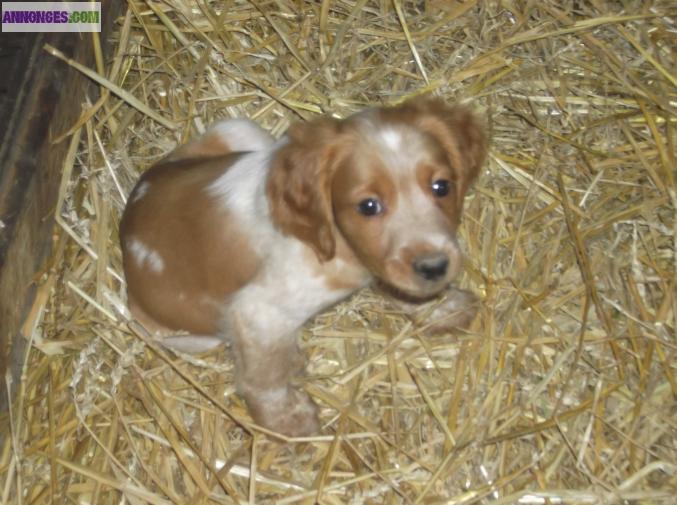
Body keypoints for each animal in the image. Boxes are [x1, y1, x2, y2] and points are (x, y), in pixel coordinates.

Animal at [120, 96, 486, 436]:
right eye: (368, 206)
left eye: (442, 186)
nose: (434, 267)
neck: (333, 241)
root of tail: (129, 216)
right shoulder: (258, 313)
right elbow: (264, 377)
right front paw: (288, 420)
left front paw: (445, 307)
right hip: (188, 335)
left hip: (241, 130)